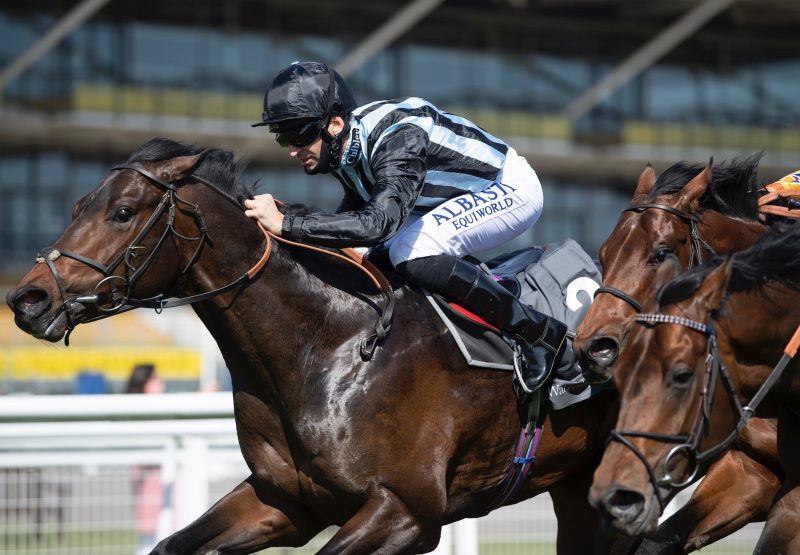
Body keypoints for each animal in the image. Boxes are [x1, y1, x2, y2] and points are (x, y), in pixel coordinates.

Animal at [6, 136, 620, 555]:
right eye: (76, 206)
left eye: (123, 211)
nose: (26, 299)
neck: (330, 350)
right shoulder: (286, 500)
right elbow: (172, 543)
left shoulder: (408, 510)